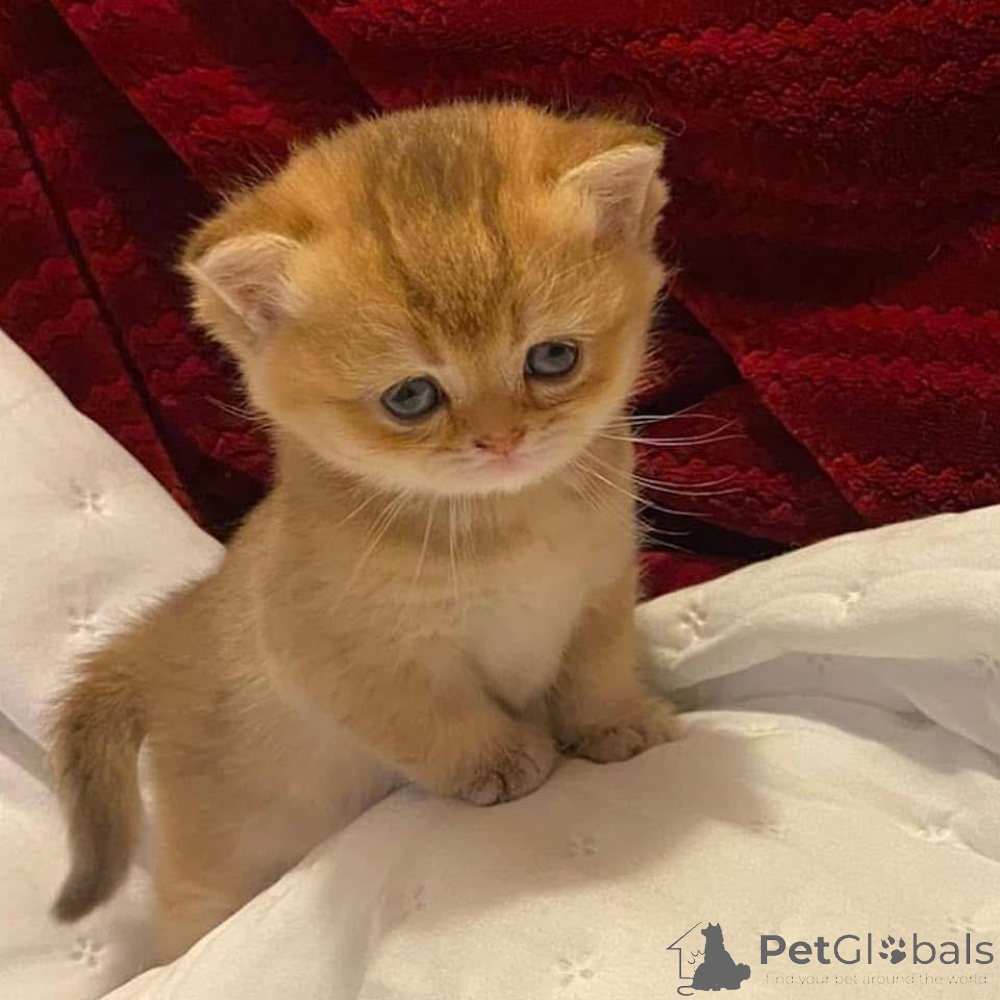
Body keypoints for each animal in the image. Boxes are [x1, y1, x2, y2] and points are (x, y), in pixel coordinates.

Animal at [48, 101, 676, 961]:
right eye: (411, 397)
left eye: (552, 358)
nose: (502, 440)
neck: (506, 527)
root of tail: (165, 636)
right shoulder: (342, 658)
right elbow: (436, 718)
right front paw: (504, 760)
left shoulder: (601, 589)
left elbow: (596, 667)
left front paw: (614, 724)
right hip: (220, 861)